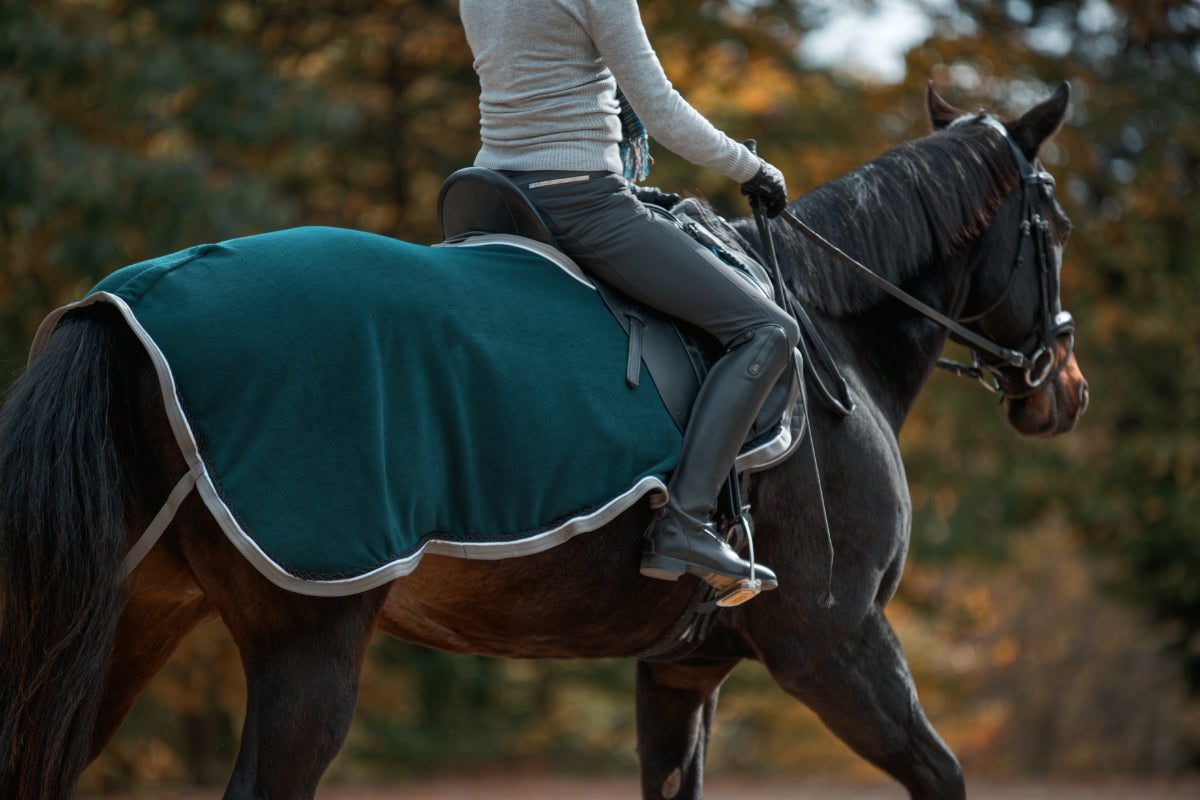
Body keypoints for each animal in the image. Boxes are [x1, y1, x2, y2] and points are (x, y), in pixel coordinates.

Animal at [0, 84, 1089, 796]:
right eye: (1061, 223)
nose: (1066, 392)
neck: (827, 330)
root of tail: (126, 304)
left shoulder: (682, 668)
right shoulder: (836, 641)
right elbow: (942, 775)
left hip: (135, 613)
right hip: (307, 639)